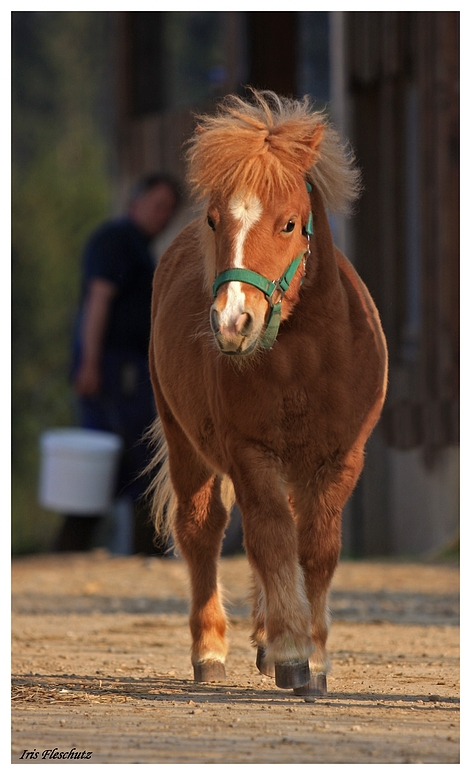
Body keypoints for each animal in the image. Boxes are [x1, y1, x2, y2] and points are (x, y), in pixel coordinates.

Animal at [148, 91, 388, 696]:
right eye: (215, 219)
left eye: (289, 224)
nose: (233, 322)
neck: (304, 361)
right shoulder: (250, 453)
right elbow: (273, 541)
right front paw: (292, 652)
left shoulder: (339, 458)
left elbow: (316, 549)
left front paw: (315, 661)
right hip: (186, 442)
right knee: (204, 531)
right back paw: (211, 652)